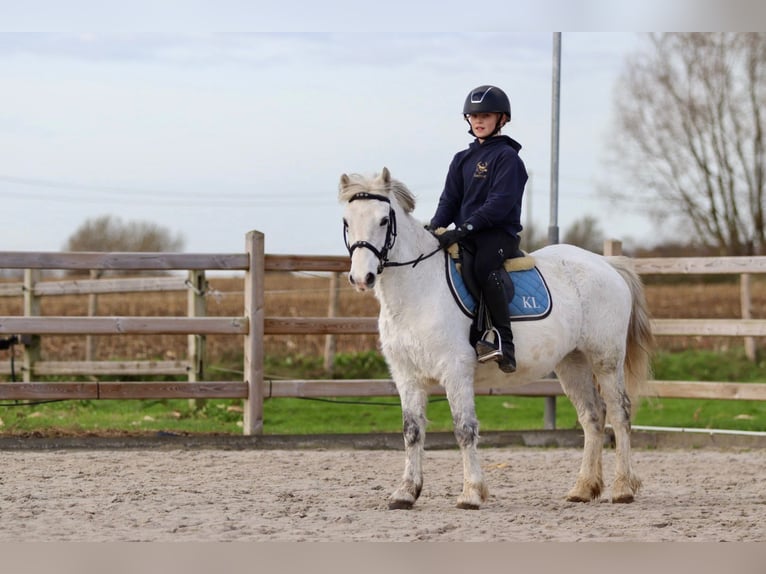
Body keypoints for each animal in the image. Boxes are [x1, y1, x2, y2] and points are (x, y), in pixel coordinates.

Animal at [340, 169, 656, 510]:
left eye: (384, 220)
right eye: (346, 221)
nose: (362, 278)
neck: (417, 290)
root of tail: (605, 264)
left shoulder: (456, 371)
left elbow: (464, 429)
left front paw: (471, 493)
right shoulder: (406, 376)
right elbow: (411, 431)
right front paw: (406, 492)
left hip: (605, 360)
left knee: (620, 413)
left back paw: (623, 488)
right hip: (572, 362)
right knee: (593, 416)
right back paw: (583, 488)